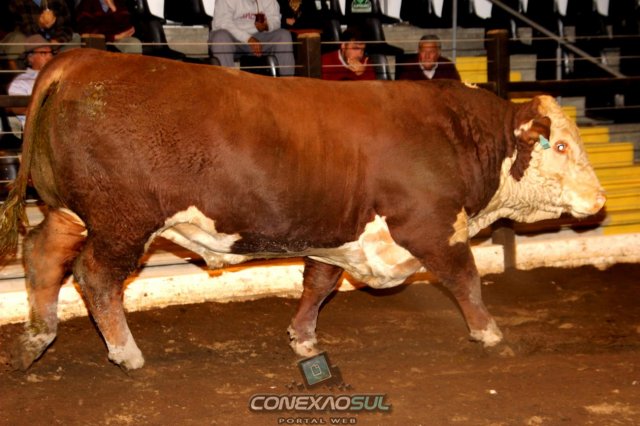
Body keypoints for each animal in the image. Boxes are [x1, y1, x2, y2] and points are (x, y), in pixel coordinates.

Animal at [0, 49, 605, 371]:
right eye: (560, 145)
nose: (599, 201)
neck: (457, 134)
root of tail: (84, 56)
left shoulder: (336, 232)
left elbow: (318, 284)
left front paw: (303, 338)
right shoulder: (433, 227)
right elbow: (465, 280)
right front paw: (491, 334)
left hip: (68, 210)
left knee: (42, 257)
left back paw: (35, 339)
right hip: (123, 220)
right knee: (95, 276)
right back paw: (125, 353)